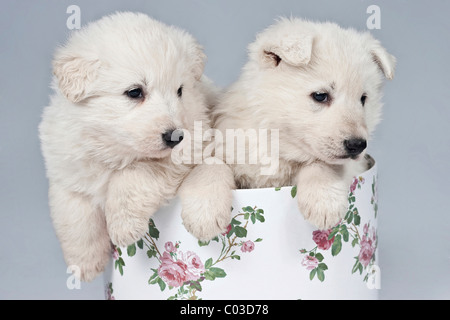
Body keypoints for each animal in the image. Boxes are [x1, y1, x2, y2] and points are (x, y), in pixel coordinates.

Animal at [38, 11, 221, 280]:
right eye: (135, 92)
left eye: (179, 91)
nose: (175, 137)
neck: (113, 147)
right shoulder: (66, 171)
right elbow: (74, 216)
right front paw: (84, 264)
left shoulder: (182, 152)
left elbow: (132, 176)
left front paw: (123, 227)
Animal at [211, 18, 394, 230]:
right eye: (320, 96)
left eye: (363, 99)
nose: (357, 145)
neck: (279, 145)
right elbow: (213, 165)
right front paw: (207, 211)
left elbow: (322, 163)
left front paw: (324, 202)